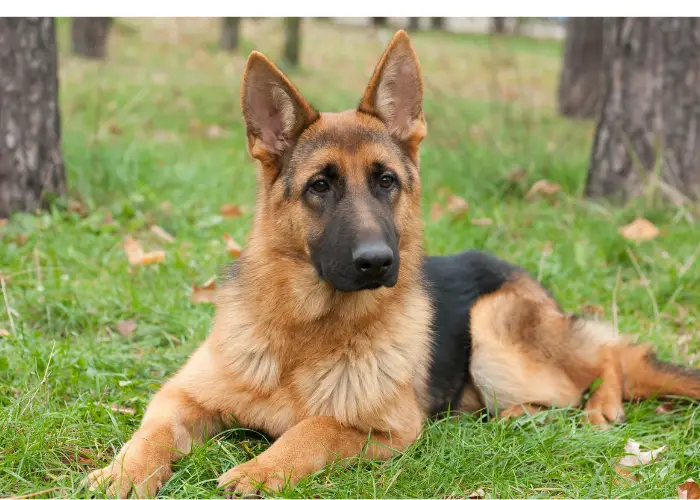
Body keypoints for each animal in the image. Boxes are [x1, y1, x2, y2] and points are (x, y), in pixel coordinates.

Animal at [86, 30, 700, 496]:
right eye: (320, 186)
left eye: (386, 181)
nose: (378, 262)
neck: (306, 332)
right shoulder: (180, 396)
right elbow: (150, 434)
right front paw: (123, 473)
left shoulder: (385, 431)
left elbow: (314, 428)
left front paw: (259, 471)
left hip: (495, 330)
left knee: (607, 358)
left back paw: (601, 407)